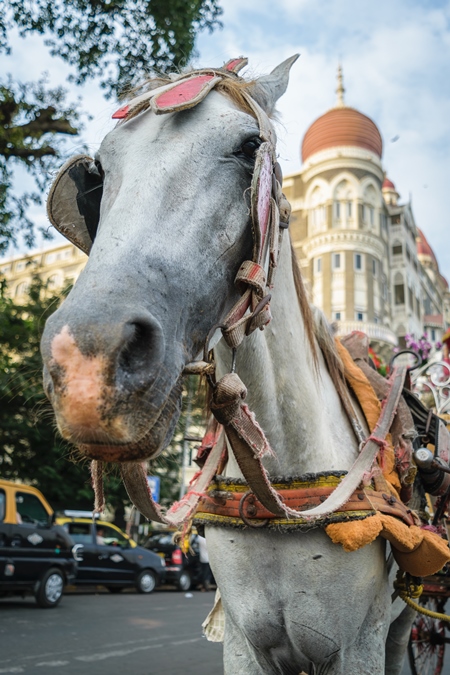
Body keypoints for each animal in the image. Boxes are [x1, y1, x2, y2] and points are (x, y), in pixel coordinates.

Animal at [40, 58, 448, 675]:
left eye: (249, 145)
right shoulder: (244, 641)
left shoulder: (359, 644)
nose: (87, 360)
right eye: (99, 173)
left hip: (408, 619)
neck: (276, 492)